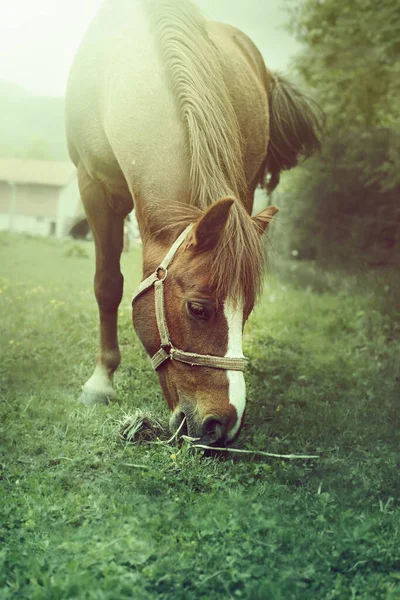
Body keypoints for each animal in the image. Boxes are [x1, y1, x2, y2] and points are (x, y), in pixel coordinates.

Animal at [65, 0, 322, 446]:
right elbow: (107, 285)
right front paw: (100, 382)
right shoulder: (93, 186)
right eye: (198, 309)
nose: (223, 425)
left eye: (248, 309)